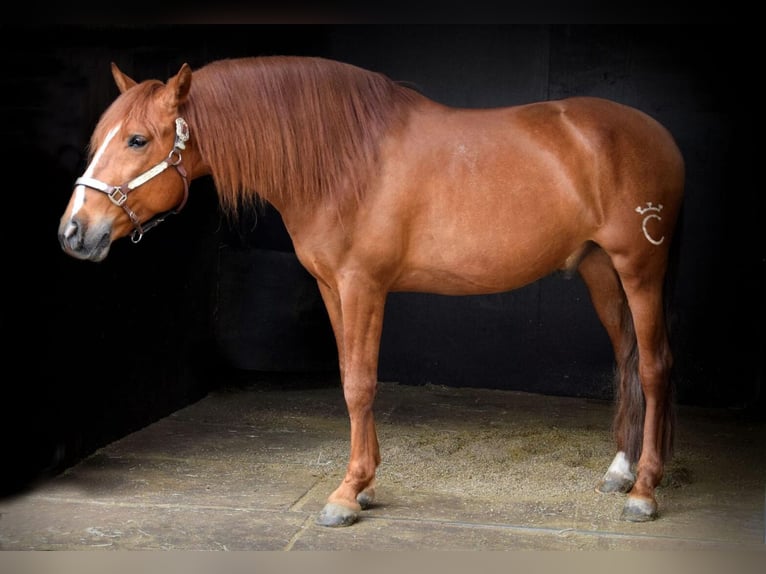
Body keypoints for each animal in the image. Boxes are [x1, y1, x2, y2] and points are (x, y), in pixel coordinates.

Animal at [57, 56, 684, 527]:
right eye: (100, 139)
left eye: (138, 139)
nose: (73, 232)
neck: (346, 159)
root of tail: (658, 136)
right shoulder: (332, 287)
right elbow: (347, 377)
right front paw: (362, 484)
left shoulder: (364, 286)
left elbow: (360, 384)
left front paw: (346, 493)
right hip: (600, 271)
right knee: (626, 359)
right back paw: (620, 470)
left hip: (640, 269)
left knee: (654, 366)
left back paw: (644, 490)